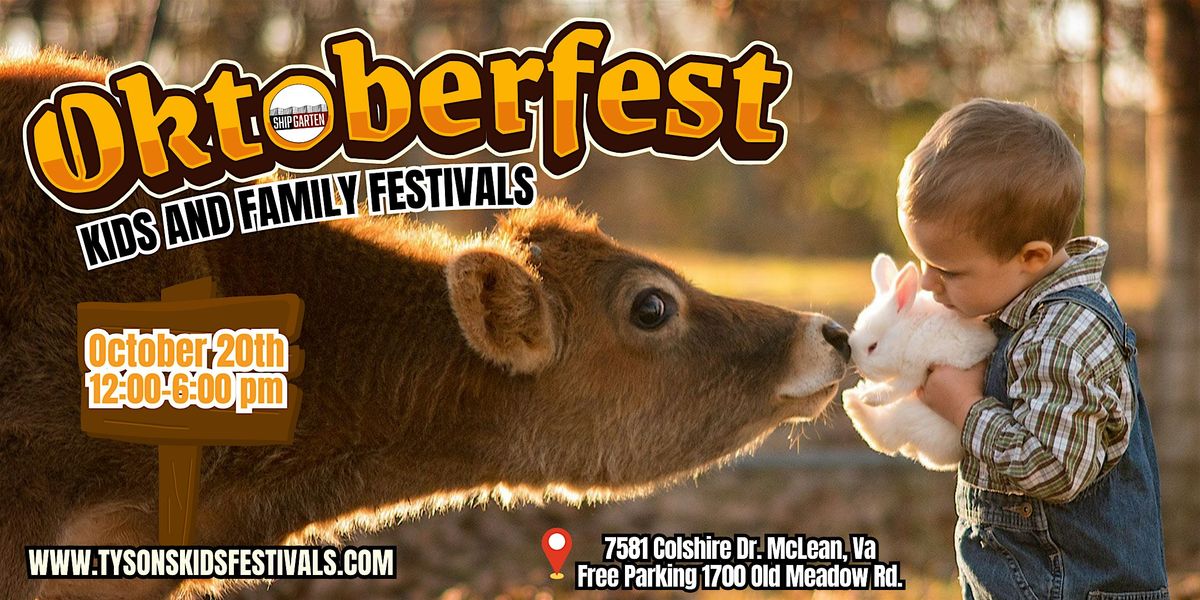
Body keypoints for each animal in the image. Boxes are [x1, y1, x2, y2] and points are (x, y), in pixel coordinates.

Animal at [840, 253, 998, 468]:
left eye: (873, 347)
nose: (861, 370)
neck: (911, 331)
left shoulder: (914, 369)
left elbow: (894, 389)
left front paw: (869, 396)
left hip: (909, 415)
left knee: (883, 437)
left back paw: (853, 399)